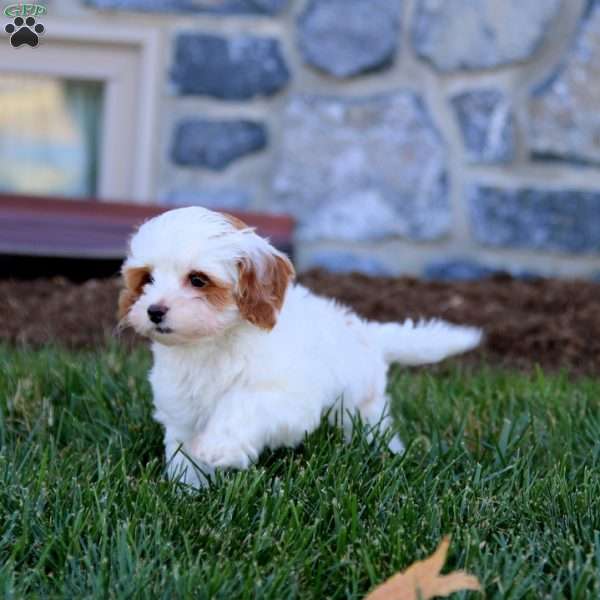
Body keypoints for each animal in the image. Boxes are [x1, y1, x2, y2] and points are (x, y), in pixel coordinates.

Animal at [118, 206, 482, 488]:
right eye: (147, 279)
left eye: (197, 279)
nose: (154, 311)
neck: (212, 344)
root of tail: (365, 331)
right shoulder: (180, 407)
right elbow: (182, 448)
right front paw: (187, 489)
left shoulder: (289, 399)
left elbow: (243, 404)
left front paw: (221, 446)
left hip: (360, 403)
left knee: (373, 427)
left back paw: (385, 454)